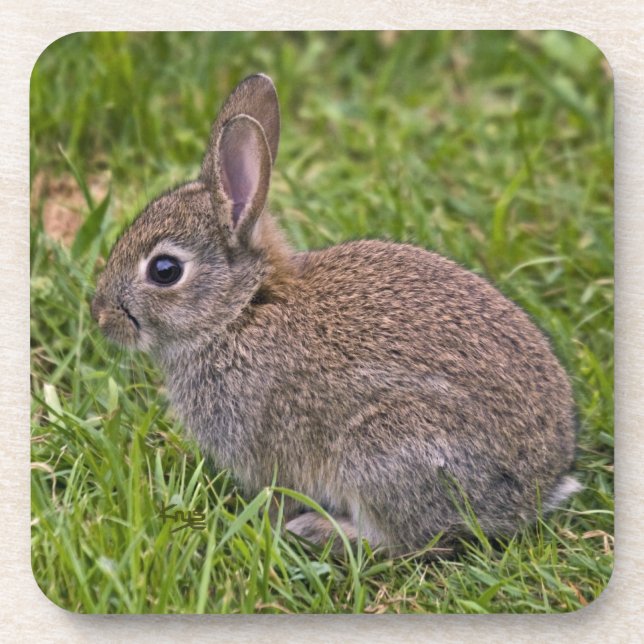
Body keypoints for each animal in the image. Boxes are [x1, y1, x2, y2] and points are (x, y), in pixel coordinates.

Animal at [92, 73, 580, 556]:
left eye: (165, 270)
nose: (100, 316)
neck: (240, 310)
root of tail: (533, 492)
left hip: (385, 450)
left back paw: (318, 530)